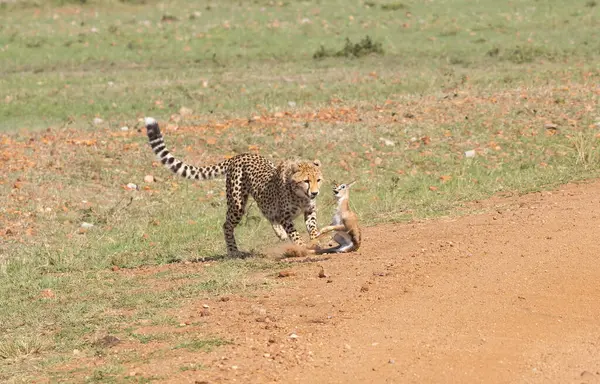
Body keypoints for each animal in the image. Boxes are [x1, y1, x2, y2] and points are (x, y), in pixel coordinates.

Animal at [143, 115, 324, 256]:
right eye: (306, 181)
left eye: (318, 180)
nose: (315, 193)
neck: (300, 195)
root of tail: (238, 156)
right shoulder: (287, 216)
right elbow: (294, 233)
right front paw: (301, 247)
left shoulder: (309, 210)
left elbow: (312, 227)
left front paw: (315, 240)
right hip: (237, 204)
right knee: (227, 225)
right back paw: (233, 251)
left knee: (268, 213)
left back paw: (279, 234)